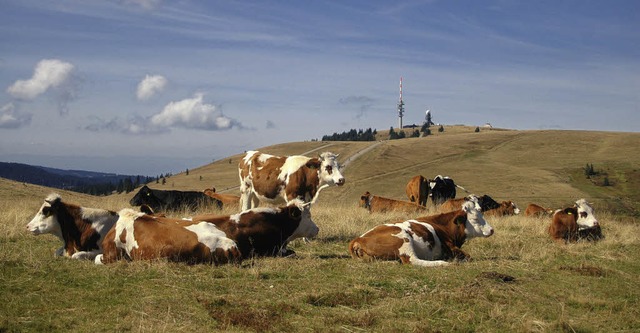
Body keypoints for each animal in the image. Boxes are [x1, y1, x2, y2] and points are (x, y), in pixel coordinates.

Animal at [350, 197, 496, 268]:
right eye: (475, 219)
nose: (491, 230)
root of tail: (358, 239)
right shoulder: (450, 246)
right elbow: (468, 256)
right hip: (404, 239)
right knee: (411, 261)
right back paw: (442, 263)